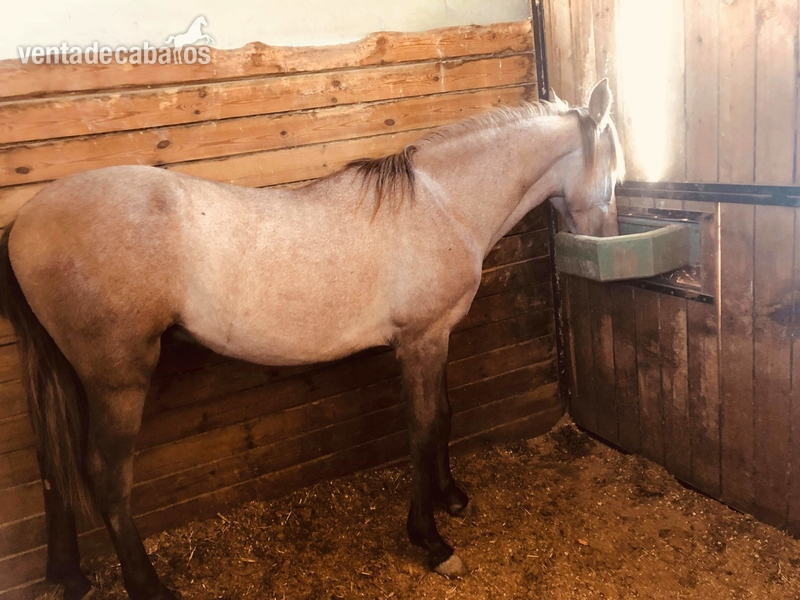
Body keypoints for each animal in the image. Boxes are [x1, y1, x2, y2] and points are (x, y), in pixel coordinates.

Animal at [0, 79, 623, 600]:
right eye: (615, 173)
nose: (605, 241)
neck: (442, 204)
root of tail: (24, 222)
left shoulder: (438, 337)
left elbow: (443, 416)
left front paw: (452, 498)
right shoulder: (420, 342)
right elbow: (423, 428)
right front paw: (431, 540)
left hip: (70, 375)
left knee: (54, 464)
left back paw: (69, 575)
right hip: (117, 379)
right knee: (106, 475)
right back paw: (147, 586)